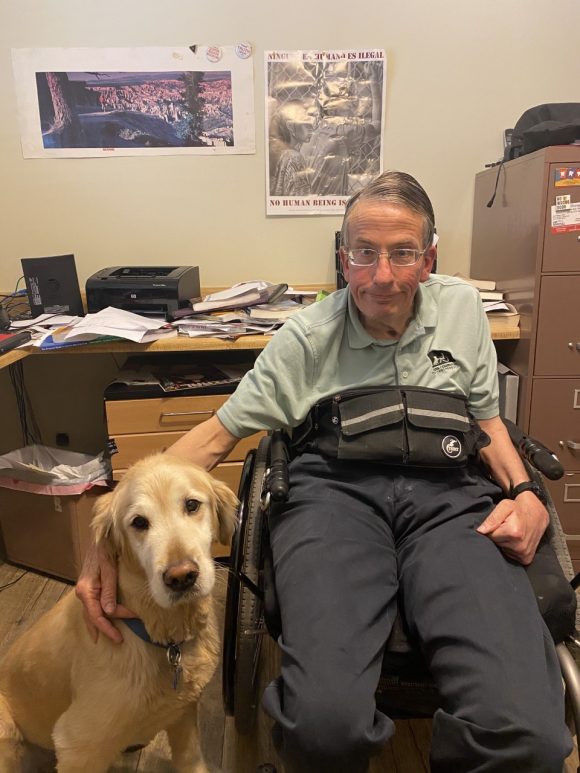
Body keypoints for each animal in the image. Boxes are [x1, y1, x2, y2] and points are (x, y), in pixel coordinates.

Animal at [0, 452, 238, 772]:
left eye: (191, 505)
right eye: (139, 522)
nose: (181, 577)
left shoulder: (184, 714)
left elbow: (191, 759)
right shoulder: (77, 746)